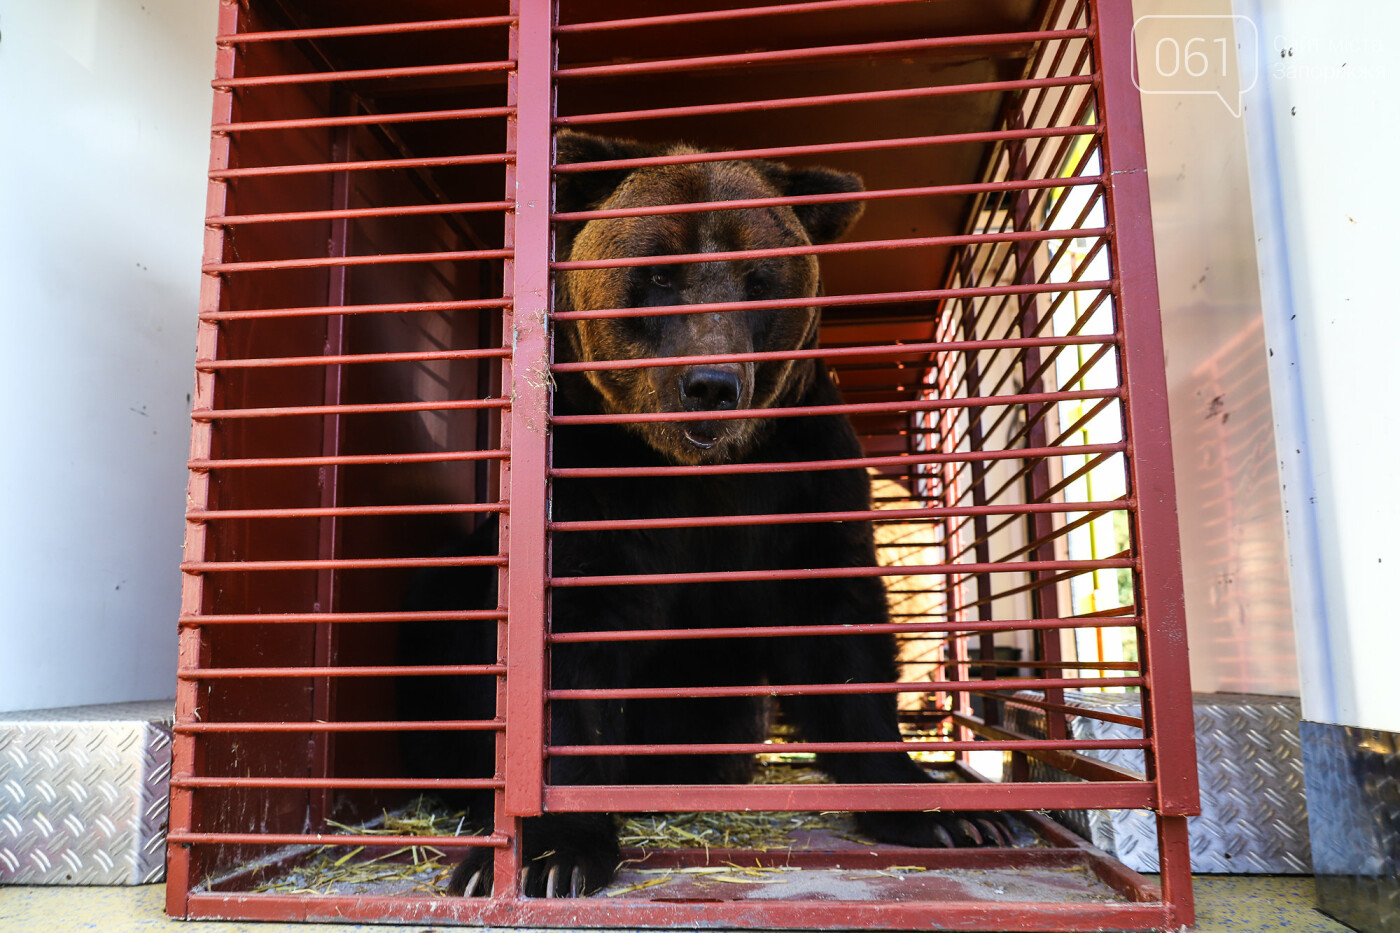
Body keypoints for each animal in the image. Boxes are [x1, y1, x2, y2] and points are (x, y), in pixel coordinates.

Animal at [400, 128, 1013, 896]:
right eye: (661, 274)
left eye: (759, 280)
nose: (711, 383)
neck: (697, 474)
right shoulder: (596, 488)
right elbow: (570, 650)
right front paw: (550, 854)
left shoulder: (798, 479)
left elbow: (839, 631)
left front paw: (944, 812)